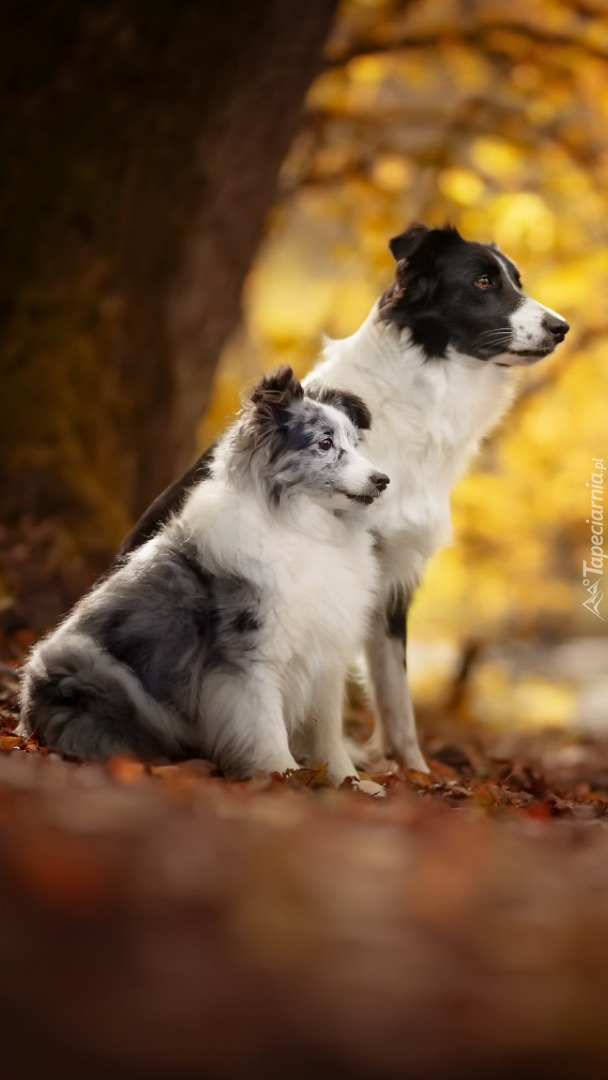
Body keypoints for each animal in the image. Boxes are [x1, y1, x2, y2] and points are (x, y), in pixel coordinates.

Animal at [22, 367, 390, 790]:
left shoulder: (325, 654)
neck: (303, 529)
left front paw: (352, 783)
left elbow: (328, 734)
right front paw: (283, 779)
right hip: (91, 664)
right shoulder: (250, 655)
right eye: (324, 443)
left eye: (355, 443)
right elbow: (266, 728)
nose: (383, 480)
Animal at [116, 223, 574, 773]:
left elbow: (397, 696)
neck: (422, 398)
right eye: (483, 282)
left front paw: (415, 774)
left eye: (516, 280)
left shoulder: (395, 577)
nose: (561, 327)